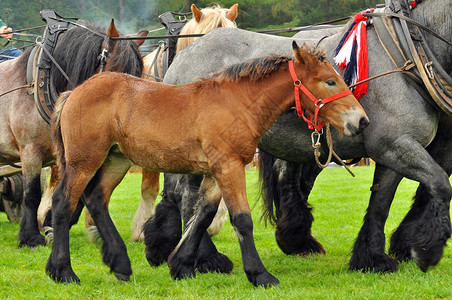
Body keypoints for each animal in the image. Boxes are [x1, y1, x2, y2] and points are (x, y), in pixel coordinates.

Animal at [0, 19, 145, 247]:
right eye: (114, 71)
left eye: (138, 75)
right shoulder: (30, 150)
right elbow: (31, 194)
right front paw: (30, 237)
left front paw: (53, 225)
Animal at [47, 42, 370, 286]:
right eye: (330, 81)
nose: (361, 121)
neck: (236, 104)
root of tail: (74, 92)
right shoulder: (229, 166)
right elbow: (242, 220)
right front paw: (260, 275)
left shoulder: (216, 172)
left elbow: (203, 215)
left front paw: (181, 265)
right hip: (84, 162)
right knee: (63, 203)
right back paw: (63, 271)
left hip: (115, 160)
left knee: (96, 199)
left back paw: (120, 264)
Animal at [145, 0, 452, 274]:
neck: (404, 50)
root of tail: (184, 54)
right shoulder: (393, 144)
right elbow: (440, 184)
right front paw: (426, 248)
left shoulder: (396, 149)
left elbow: (381, 204)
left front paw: (374, 257)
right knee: (187, 197)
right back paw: (205, 257)